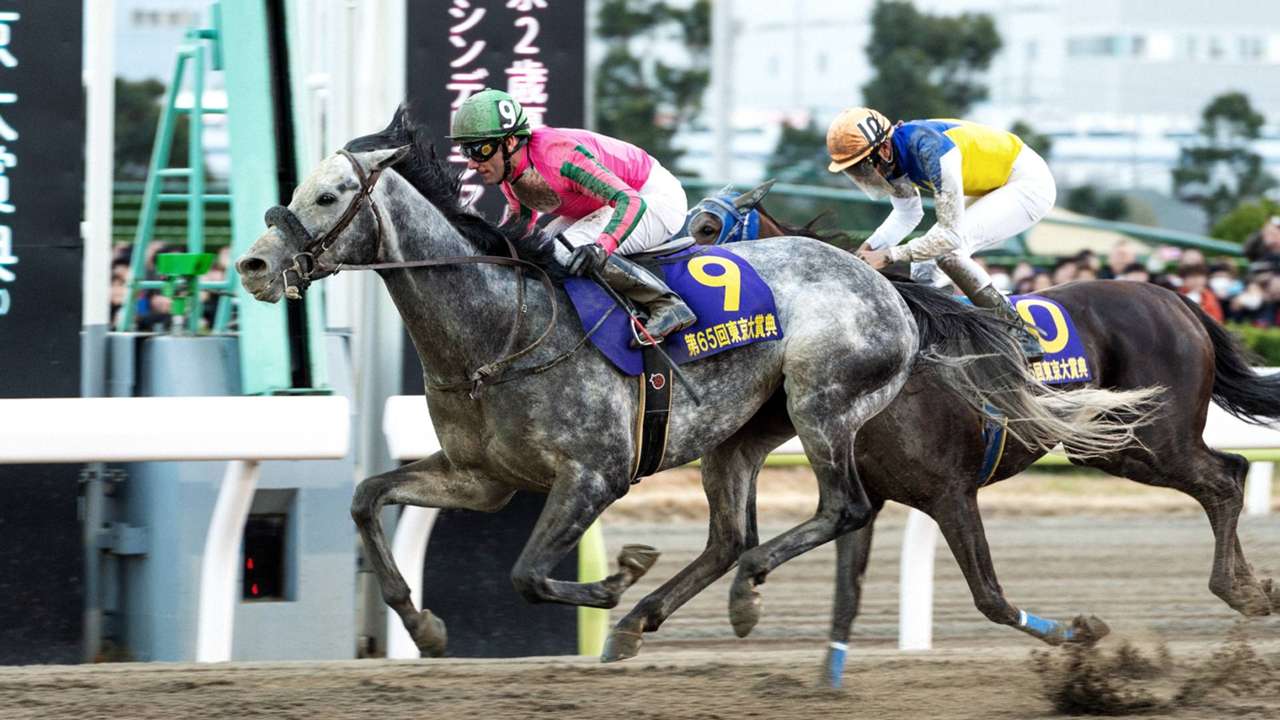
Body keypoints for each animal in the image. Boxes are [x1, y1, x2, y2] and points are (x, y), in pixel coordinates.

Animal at [235, 107, 1156, 662]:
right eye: (294, 188)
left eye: (328, 195)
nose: (253, 265)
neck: (497, 331)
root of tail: (881, 280)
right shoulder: (482, 477)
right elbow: (367, 500)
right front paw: (422, 622)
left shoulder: (594, 473)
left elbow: (528, 573)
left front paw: (614, 579)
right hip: (743, 432)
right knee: (729, 535)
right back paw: (661, 615)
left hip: (824, 404)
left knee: (839, 509)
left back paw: (732, 592)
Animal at [687, 183, 1280, 684]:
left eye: (707, 230)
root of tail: (1175, 299)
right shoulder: (868, 496)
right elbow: (846, 594)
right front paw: (825, 682)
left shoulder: (951, 492)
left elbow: (989, 596)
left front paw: (1080, 632)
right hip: (1110, 446)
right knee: (1231, 470)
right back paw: (1253, 587)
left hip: (1154, 439)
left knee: (1224, 479)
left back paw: (1240, 590)